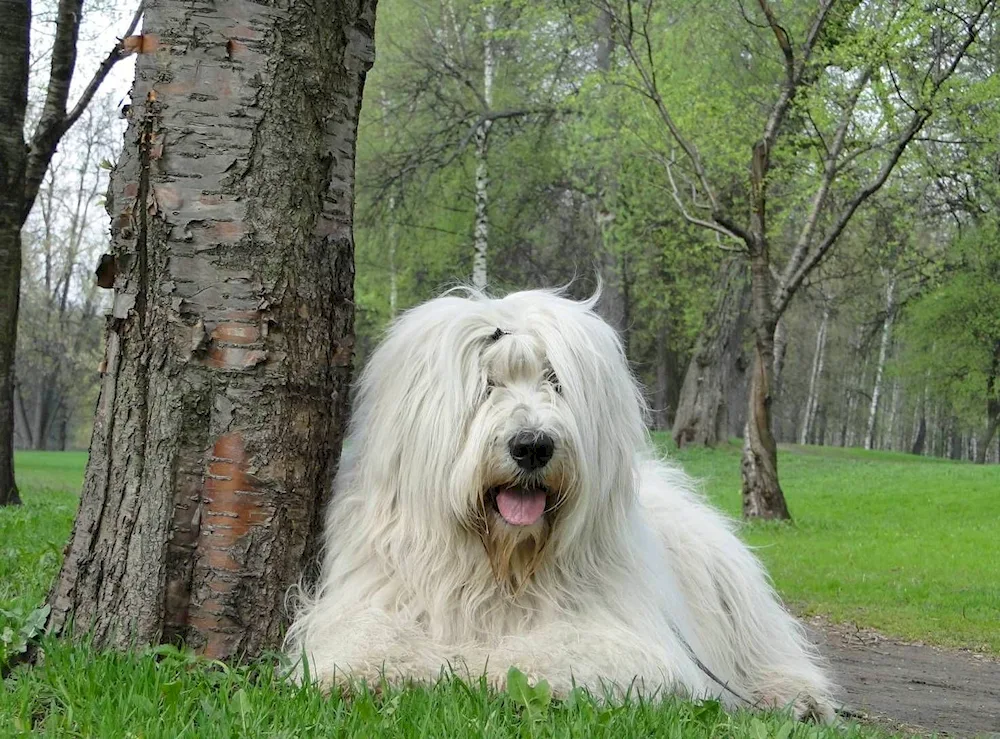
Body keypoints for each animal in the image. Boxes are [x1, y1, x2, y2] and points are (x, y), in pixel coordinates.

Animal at [288, 290, 836, 724]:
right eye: (487, 383)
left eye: (555, 380)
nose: (533, 445)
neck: (501, 566)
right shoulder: (377, 590)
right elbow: (365, 635)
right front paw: (364, 672)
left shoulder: (630, 633)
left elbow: (574, 650)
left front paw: (500, 669)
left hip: (729, 592)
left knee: (765, 650)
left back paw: (793, 695)